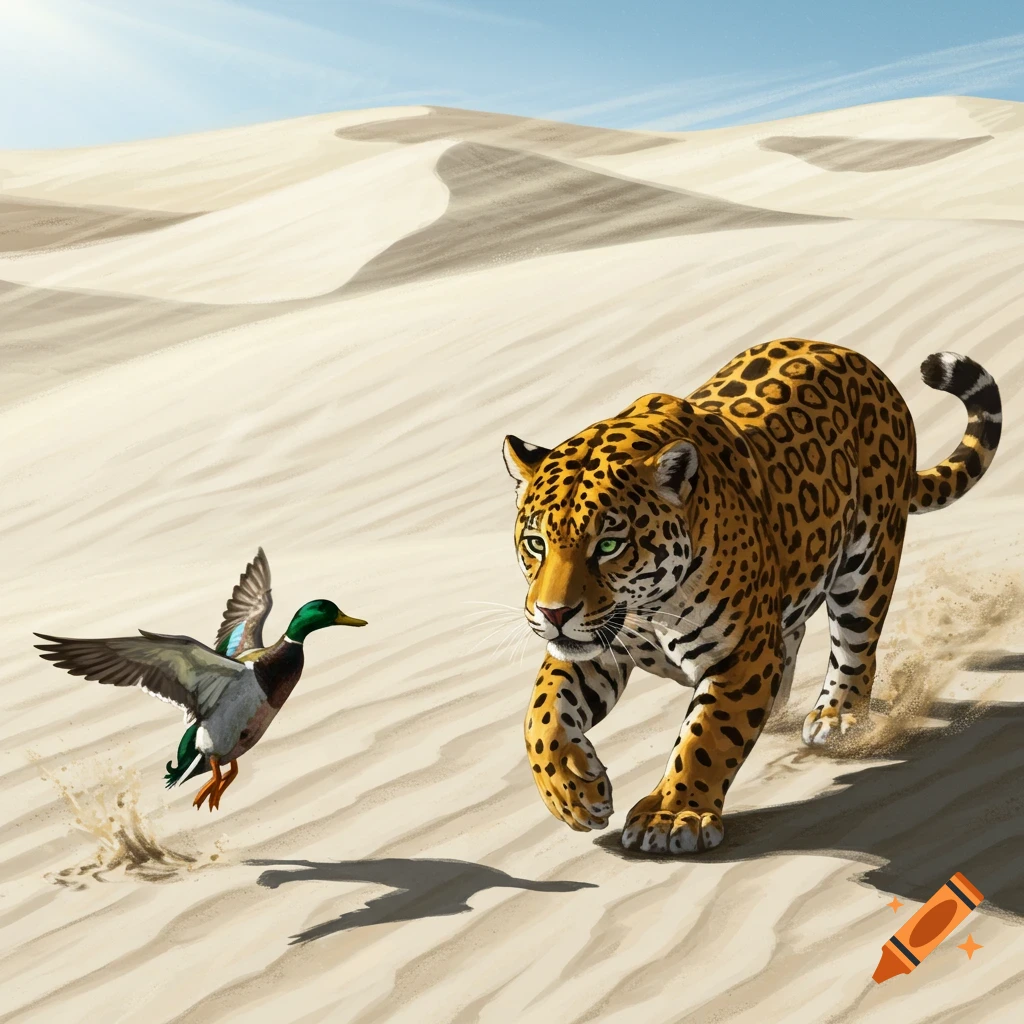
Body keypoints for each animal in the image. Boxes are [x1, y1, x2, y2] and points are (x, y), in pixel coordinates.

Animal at [502, 338, 1001, 856]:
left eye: (608, 546)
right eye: (536, 543)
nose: (552, 612)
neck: (650, 609)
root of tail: (858, 360)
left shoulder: (740, 655)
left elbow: (707, 734)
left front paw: (672, 816)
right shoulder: (592, 649)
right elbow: (542, 714)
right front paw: (573, 792)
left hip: (868, 559)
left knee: (855, 646)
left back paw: (837, 718)